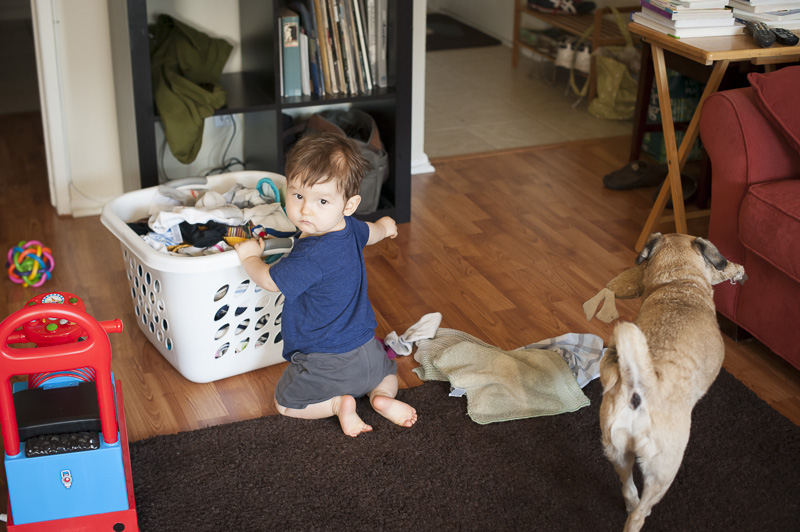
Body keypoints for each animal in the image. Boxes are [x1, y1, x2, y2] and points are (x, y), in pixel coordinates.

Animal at [600, 234, 752, 532]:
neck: (678, 280)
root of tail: (640, 389)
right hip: (664, 470)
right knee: (640, 510)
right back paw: (641, 515)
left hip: (617, 451)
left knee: (628, 487)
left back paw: (630, 502)